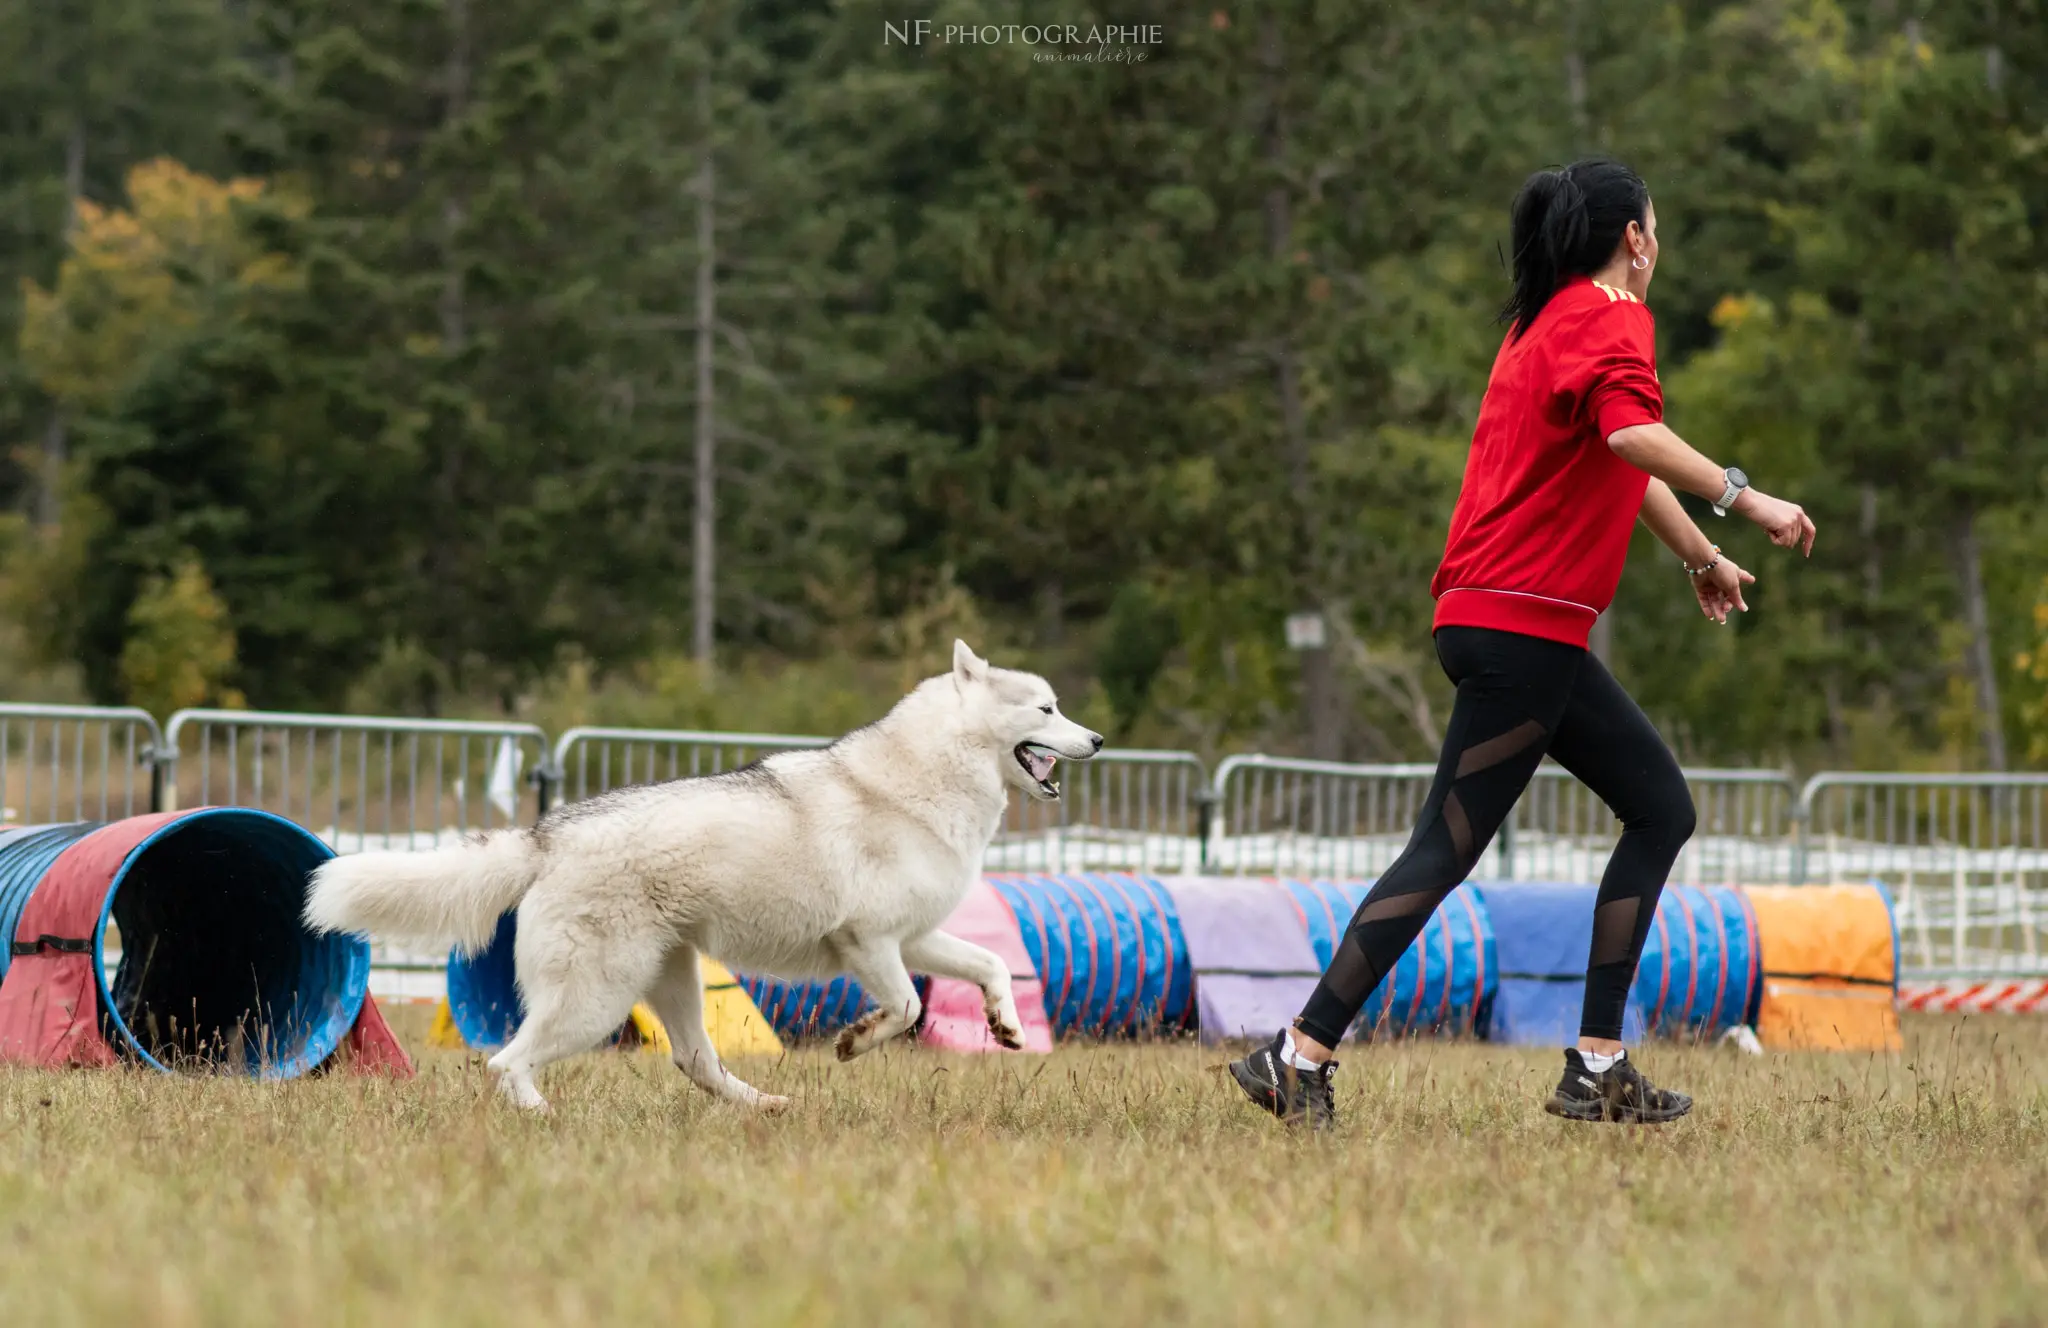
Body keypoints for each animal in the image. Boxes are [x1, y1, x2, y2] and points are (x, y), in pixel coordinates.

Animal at [301, 639, 1097, 1106]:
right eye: (1046, 708)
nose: (1096, 738)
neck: (926, 779)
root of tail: (547, 834)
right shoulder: (869, 944)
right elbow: (902, 1009)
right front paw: (854, 1042)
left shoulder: (914, 939)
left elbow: (989, 965)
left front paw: (1006, 1026)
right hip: (596, 1001)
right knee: (506, 1063)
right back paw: (541, 1119)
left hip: (672, 982)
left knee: (696, 1063)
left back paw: (765, 1107)